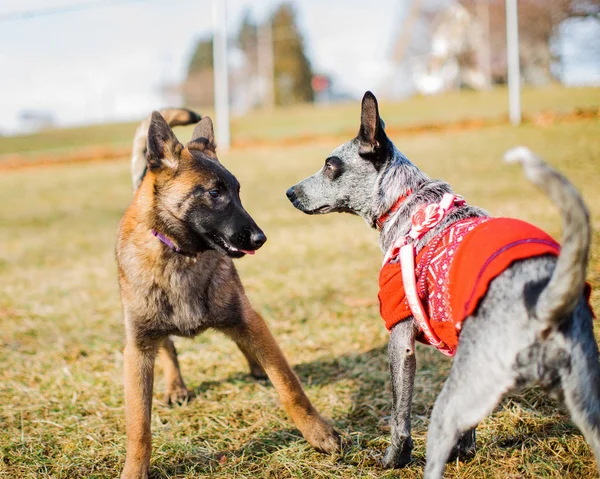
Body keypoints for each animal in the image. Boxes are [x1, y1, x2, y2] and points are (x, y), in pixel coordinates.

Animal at [116, 110, 340, 478]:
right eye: (214, 193)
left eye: (237, 192)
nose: (261, 238)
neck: (182, 256)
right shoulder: (138, 349)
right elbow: (139, 426)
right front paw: (134, 470)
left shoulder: (247, 318)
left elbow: (289, 386)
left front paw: (317, 432)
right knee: (170, 349)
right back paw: (176, 386)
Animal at [286, 92, 600, 478]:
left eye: (331, 165)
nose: (289, 192)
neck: (409, 204)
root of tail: (542, 306)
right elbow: (470, 426)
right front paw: (465, 451)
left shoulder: (401, 339)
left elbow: (400, 417)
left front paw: (394, 460)